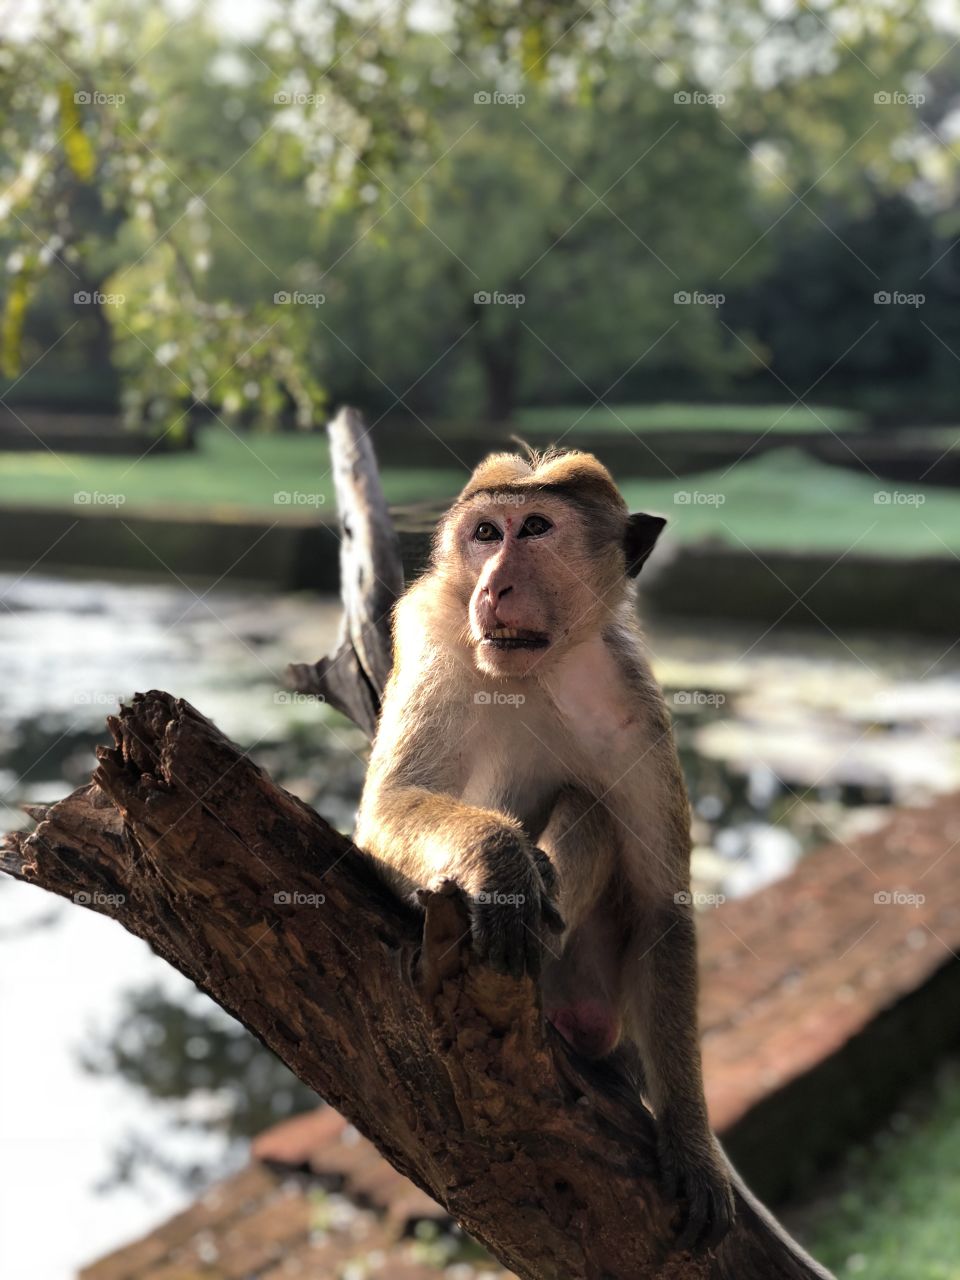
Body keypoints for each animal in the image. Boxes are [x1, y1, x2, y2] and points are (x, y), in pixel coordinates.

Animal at [354, 447, 736, 1251]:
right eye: (485, 533)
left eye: (534, 528)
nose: (494, 585)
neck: (537, 669)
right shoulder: (433, 640)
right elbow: (386, 808)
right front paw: (502, 867)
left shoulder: (636, 702)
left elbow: (661, 907)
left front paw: (693, 1144)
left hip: (590, 976)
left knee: (590, 812)